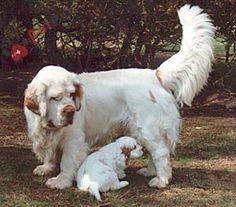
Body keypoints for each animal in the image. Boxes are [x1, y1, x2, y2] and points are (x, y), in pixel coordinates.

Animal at [24, 4, 216, 189]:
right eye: (54, 98)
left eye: (71, 95)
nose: (70, 111)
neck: (48, 126)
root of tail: (155, 74)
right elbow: (50, 155)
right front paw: (46, 167)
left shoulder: (74, 141)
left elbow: (66, 163)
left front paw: (61, 181)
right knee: (153, 153)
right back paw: (149, 172)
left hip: (148, 129)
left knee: (160, 152)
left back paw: (160, 180)